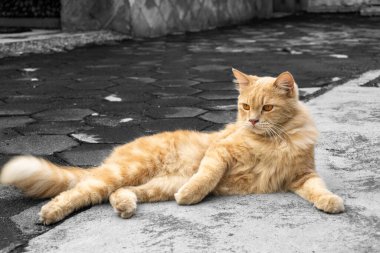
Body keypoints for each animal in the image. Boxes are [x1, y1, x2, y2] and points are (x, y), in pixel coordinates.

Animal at [0, 68, 344, 224]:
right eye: (246, 106)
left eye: (268, 108)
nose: (252, 121)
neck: (274, 141)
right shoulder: (220, 153)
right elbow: (207, 175)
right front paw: (192, 195)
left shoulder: (302, 175)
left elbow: (319, 189)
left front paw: (330, 202)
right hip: (124, 172)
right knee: (79, 192)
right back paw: (50, 212)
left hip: (156, 185)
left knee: (117, 193)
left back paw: (125, 206)